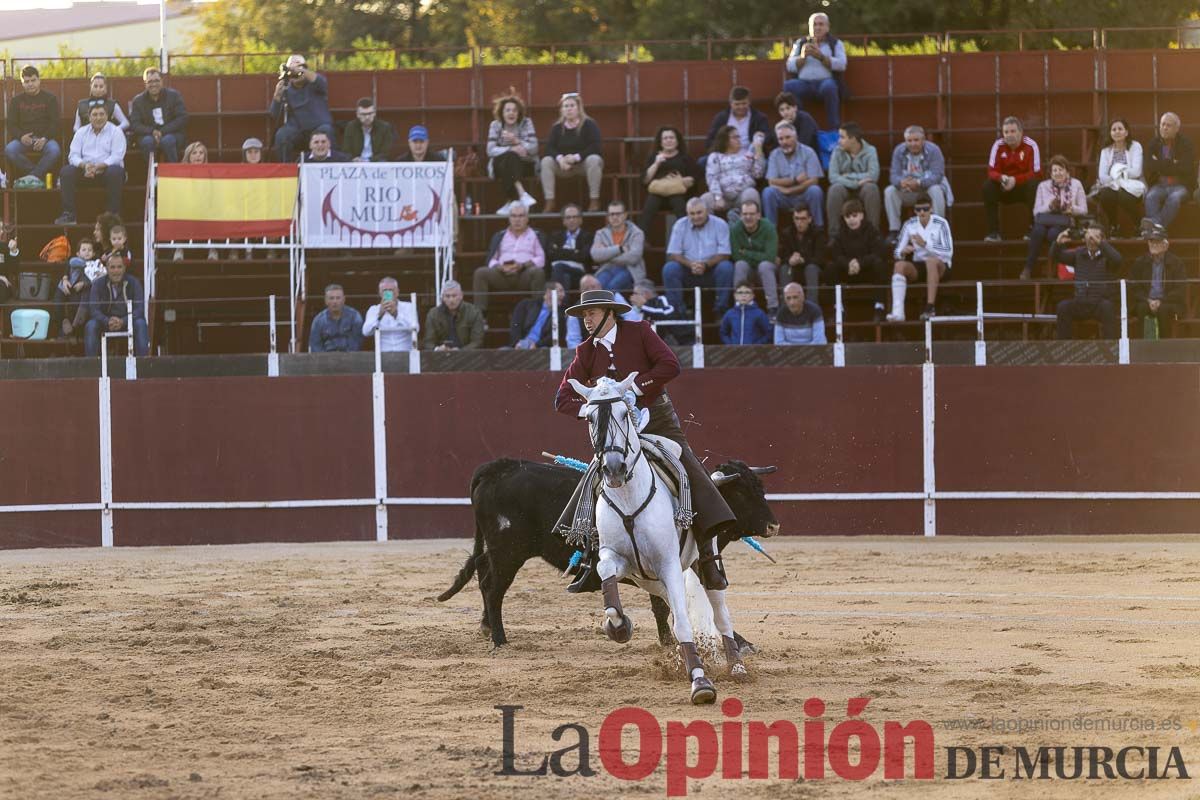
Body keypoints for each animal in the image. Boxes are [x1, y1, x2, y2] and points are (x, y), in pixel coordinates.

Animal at [439, 455, 777, 652]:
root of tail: (498, 467)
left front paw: (668, 640)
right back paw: (500, 639)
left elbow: (664, 605)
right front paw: (739, 642)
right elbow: (676, 603)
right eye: (741, 492)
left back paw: (486, 628)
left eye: (760, 487)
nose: (773, 525)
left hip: (498, 549)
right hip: (509, 551)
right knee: (493, 587)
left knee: (482, 570)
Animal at [566, 371, 744, 705]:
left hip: (701, 564)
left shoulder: (668, 563)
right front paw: (618, 627)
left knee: (719, 611)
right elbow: (607, 582)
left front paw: (700, 682)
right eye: (590, 417)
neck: (628, 497)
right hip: (650, 580)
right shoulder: (620, 560)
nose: (613, 468)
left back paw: (737, 665)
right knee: (673, 608)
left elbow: (686, 623)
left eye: (624, 413)